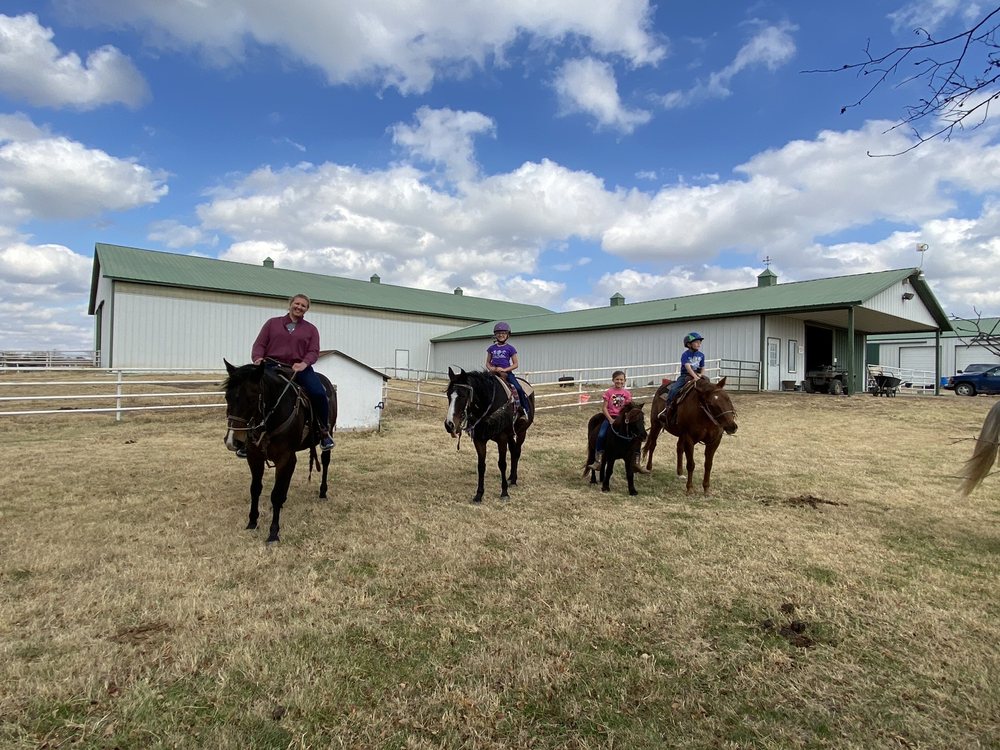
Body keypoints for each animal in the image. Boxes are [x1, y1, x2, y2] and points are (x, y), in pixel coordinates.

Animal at [222, 360, 337, 543]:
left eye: (252, 398)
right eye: (227, 397)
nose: (232, 441)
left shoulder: (284, 456)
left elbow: (275, 494)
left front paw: (273, 532)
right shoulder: (254, 457)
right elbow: (255, 488)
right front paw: (252, 522)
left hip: (328, 433)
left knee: (325, 462)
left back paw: (322, 492)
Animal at [443, 367, 535, 503]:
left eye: (463, 395)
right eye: (448, 395)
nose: (449, 424)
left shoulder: (502, 439)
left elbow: (502, 464)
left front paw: (504, 493)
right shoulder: (479, 439)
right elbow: (481, 466)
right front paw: (479, 495)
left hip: (521, 432)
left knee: (517, 452)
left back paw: (513, 481)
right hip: (511, 435)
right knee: (513, 452)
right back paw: (510, 478)